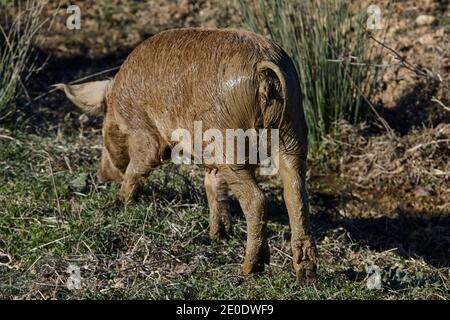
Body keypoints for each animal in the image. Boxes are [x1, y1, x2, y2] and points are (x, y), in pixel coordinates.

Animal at [55, 27, 316, 282]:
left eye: (103, 128)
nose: (101, 176)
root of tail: (262, 64)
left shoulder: (143, 129)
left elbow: (141, 163)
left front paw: (117, 202)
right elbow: (212, 184)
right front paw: (218, 235)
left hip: (231, 138)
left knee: (257, 198)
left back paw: (249, 270)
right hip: (292, 124)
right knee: (295, 190)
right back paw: (305, 273)